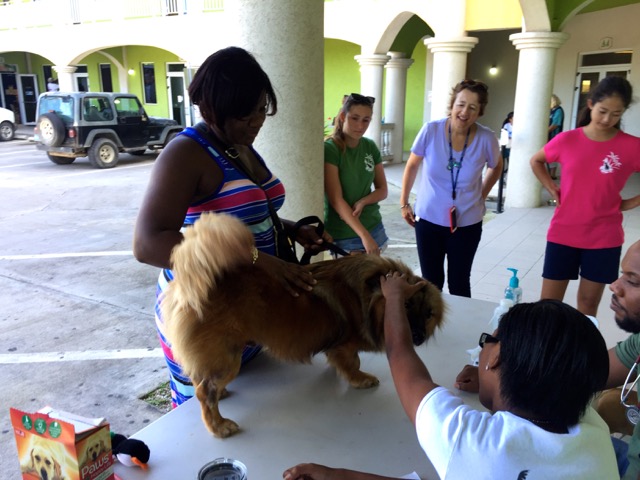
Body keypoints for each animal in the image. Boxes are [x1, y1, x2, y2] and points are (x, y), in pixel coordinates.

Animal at [162, 212, 442, 436]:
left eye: (429, 314)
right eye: (405, 305)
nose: (417, 337)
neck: (365, 294)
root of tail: (192, 284)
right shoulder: (345, 345)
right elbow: (352, 363)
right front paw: (359, 379)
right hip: (228, 357)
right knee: (204, 392)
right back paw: (219, 425)